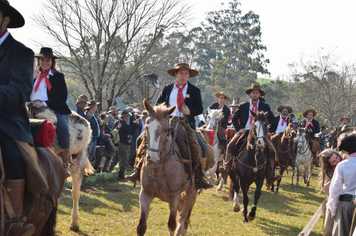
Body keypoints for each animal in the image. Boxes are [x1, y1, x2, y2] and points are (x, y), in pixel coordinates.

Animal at [136, 98, 197, 235]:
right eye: (146, 127)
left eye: (165, 130)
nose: (152, 159)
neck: (160, 168)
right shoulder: (145, 193)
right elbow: (141, 226)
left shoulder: (174, 196)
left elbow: (171, 225)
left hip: (191, 193)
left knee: (183, 221)